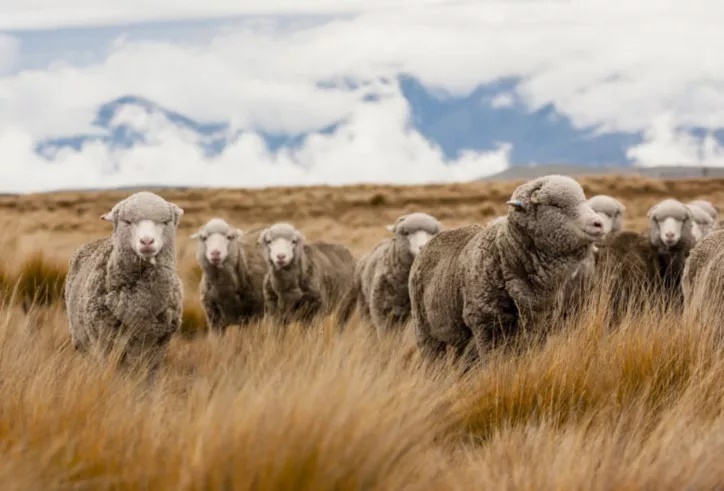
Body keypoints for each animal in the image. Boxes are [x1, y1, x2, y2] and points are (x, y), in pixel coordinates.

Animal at [64, 191, 184, 370]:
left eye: (165, 222)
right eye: (127, 221)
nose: (147, 241)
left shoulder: (158, 349)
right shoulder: (106, 345)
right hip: (82, 341)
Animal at [408, 175, 605, 364]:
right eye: (555, 205)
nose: (599, 224)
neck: (504, 252)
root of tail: (434, 238)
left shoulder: (540, 329)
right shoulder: (487, 327)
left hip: (460, 336)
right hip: (424, 329)